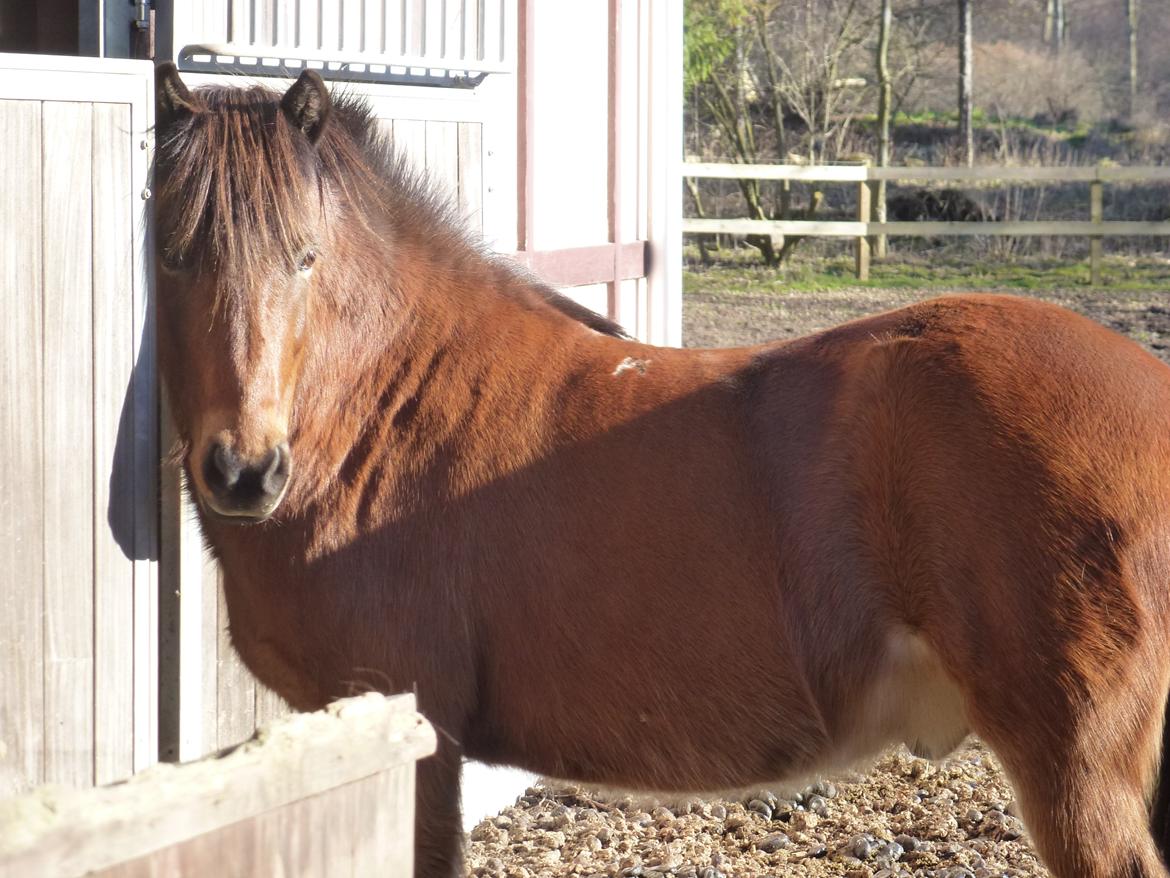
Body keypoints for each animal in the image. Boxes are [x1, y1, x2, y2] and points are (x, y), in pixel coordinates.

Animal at [150, 67, 1170, 878]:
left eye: (305, 256)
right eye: (172, 252)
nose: (245, 471)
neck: (386, 412)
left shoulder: (419, 750)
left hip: (1079, 773)